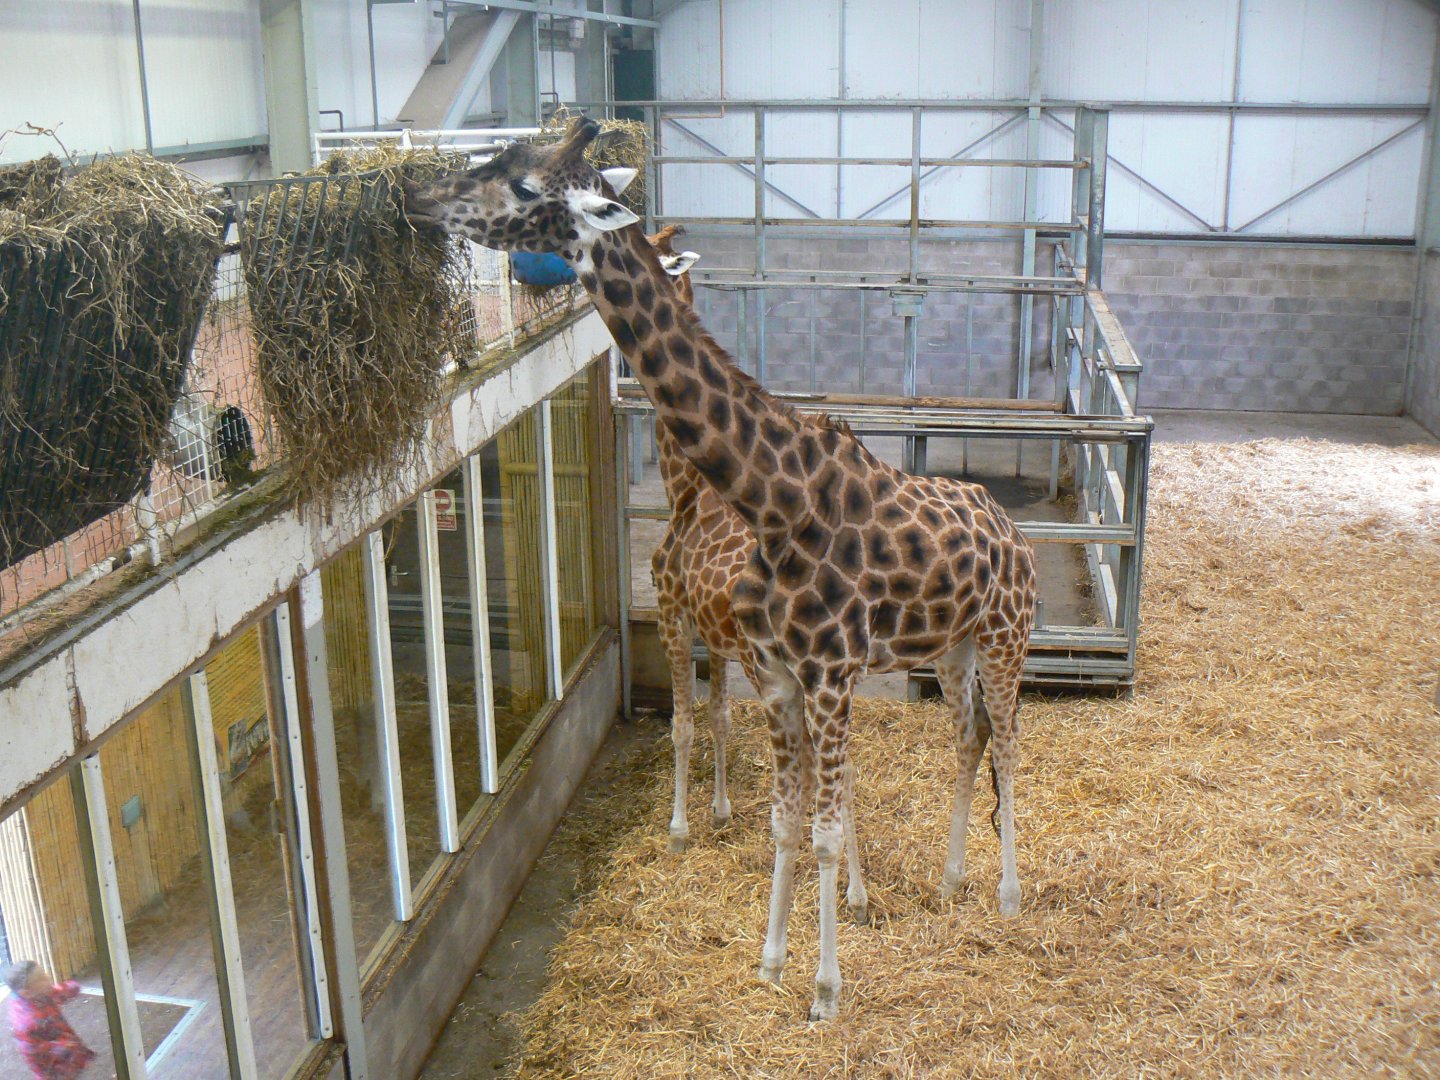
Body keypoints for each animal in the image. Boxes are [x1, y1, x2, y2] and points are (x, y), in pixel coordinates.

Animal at [405, 118, 1037, 1022]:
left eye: (525, 184)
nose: (417, 198)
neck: (771, 501)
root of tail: (1014, 532)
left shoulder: (829, 673)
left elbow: (823, 829)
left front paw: (826, 991)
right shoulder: (775, 672)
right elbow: (784, 819)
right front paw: (771, 963)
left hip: (1007, 637)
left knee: (1011, 745)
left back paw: (1010, 896)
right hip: (951, 650)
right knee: (967, 736)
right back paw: (952, 883)